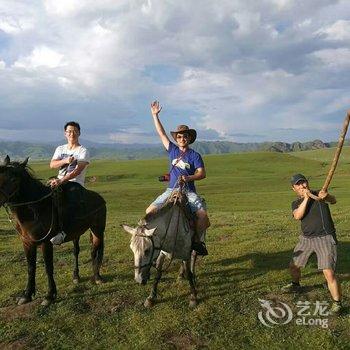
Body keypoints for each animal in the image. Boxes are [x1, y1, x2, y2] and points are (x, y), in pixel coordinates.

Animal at [0, 156, 106, 306]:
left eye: (14, 179)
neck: (36, 209)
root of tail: (100, 199)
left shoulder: (46, 243)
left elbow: (48, 268)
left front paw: (49, 296)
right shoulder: (27, 243)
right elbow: (30, 267)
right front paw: (27, 295)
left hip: (98, 230)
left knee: (95, 250)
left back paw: (97, 276)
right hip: (77, 234)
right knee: (76, 251)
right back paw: (76, 276)